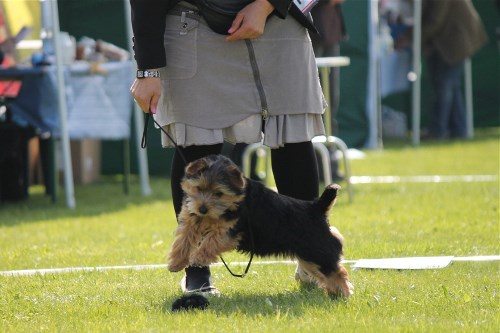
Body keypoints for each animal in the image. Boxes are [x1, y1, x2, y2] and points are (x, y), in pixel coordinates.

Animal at [170, 154, 354, 296]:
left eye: (219, 193)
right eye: (198, 188)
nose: (202, 209)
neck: (236, 198)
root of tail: (316, 208)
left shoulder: (228, 230)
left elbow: (210, 242)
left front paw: (198, 257)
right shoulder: (191, 220)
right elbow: (183, 240)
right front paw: (176, 262)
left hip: (316, 251)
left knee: (337, 271)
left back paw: (344, 293)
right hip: (309, 256)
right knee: (328, 272)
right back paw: (334, 292)